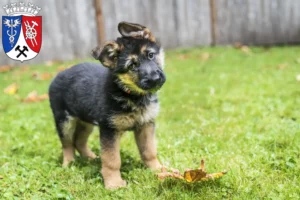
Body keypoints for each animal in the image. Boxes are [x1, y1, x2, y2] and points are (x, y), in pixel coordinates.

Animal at [49, 21, 166, 189]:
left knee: (79, 141)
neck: (130, 93)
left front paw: (158, 170)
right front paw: (114, 183)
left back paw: (91, 158)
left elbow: (149, 151)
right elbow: (112, 160)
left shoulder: (146, 125)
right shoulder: (109, 130)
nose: (155, 79)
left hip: (85, 122)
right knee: (67, 144)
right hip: (64, 121)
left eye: (150, 55)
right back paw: (69, 164)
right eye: (132, 66)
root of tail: (58, 74)